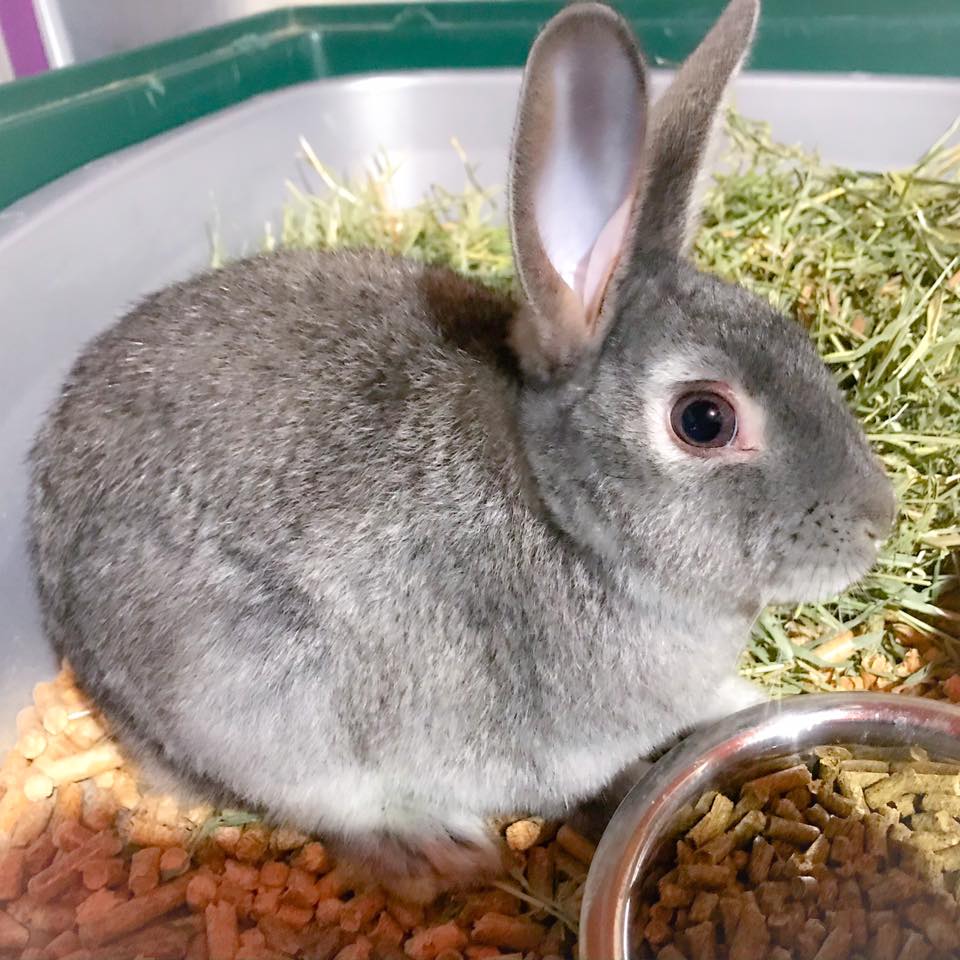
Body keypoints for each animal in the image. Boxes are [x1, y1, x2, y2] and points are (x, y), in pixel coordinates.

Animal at [28, 0, 895, 897]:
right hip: (242, 688)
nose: (881, 520)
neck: (562, 513)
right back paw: (437, 847)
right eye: (704, 420)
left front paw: (750, 696)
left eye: (794, 335)